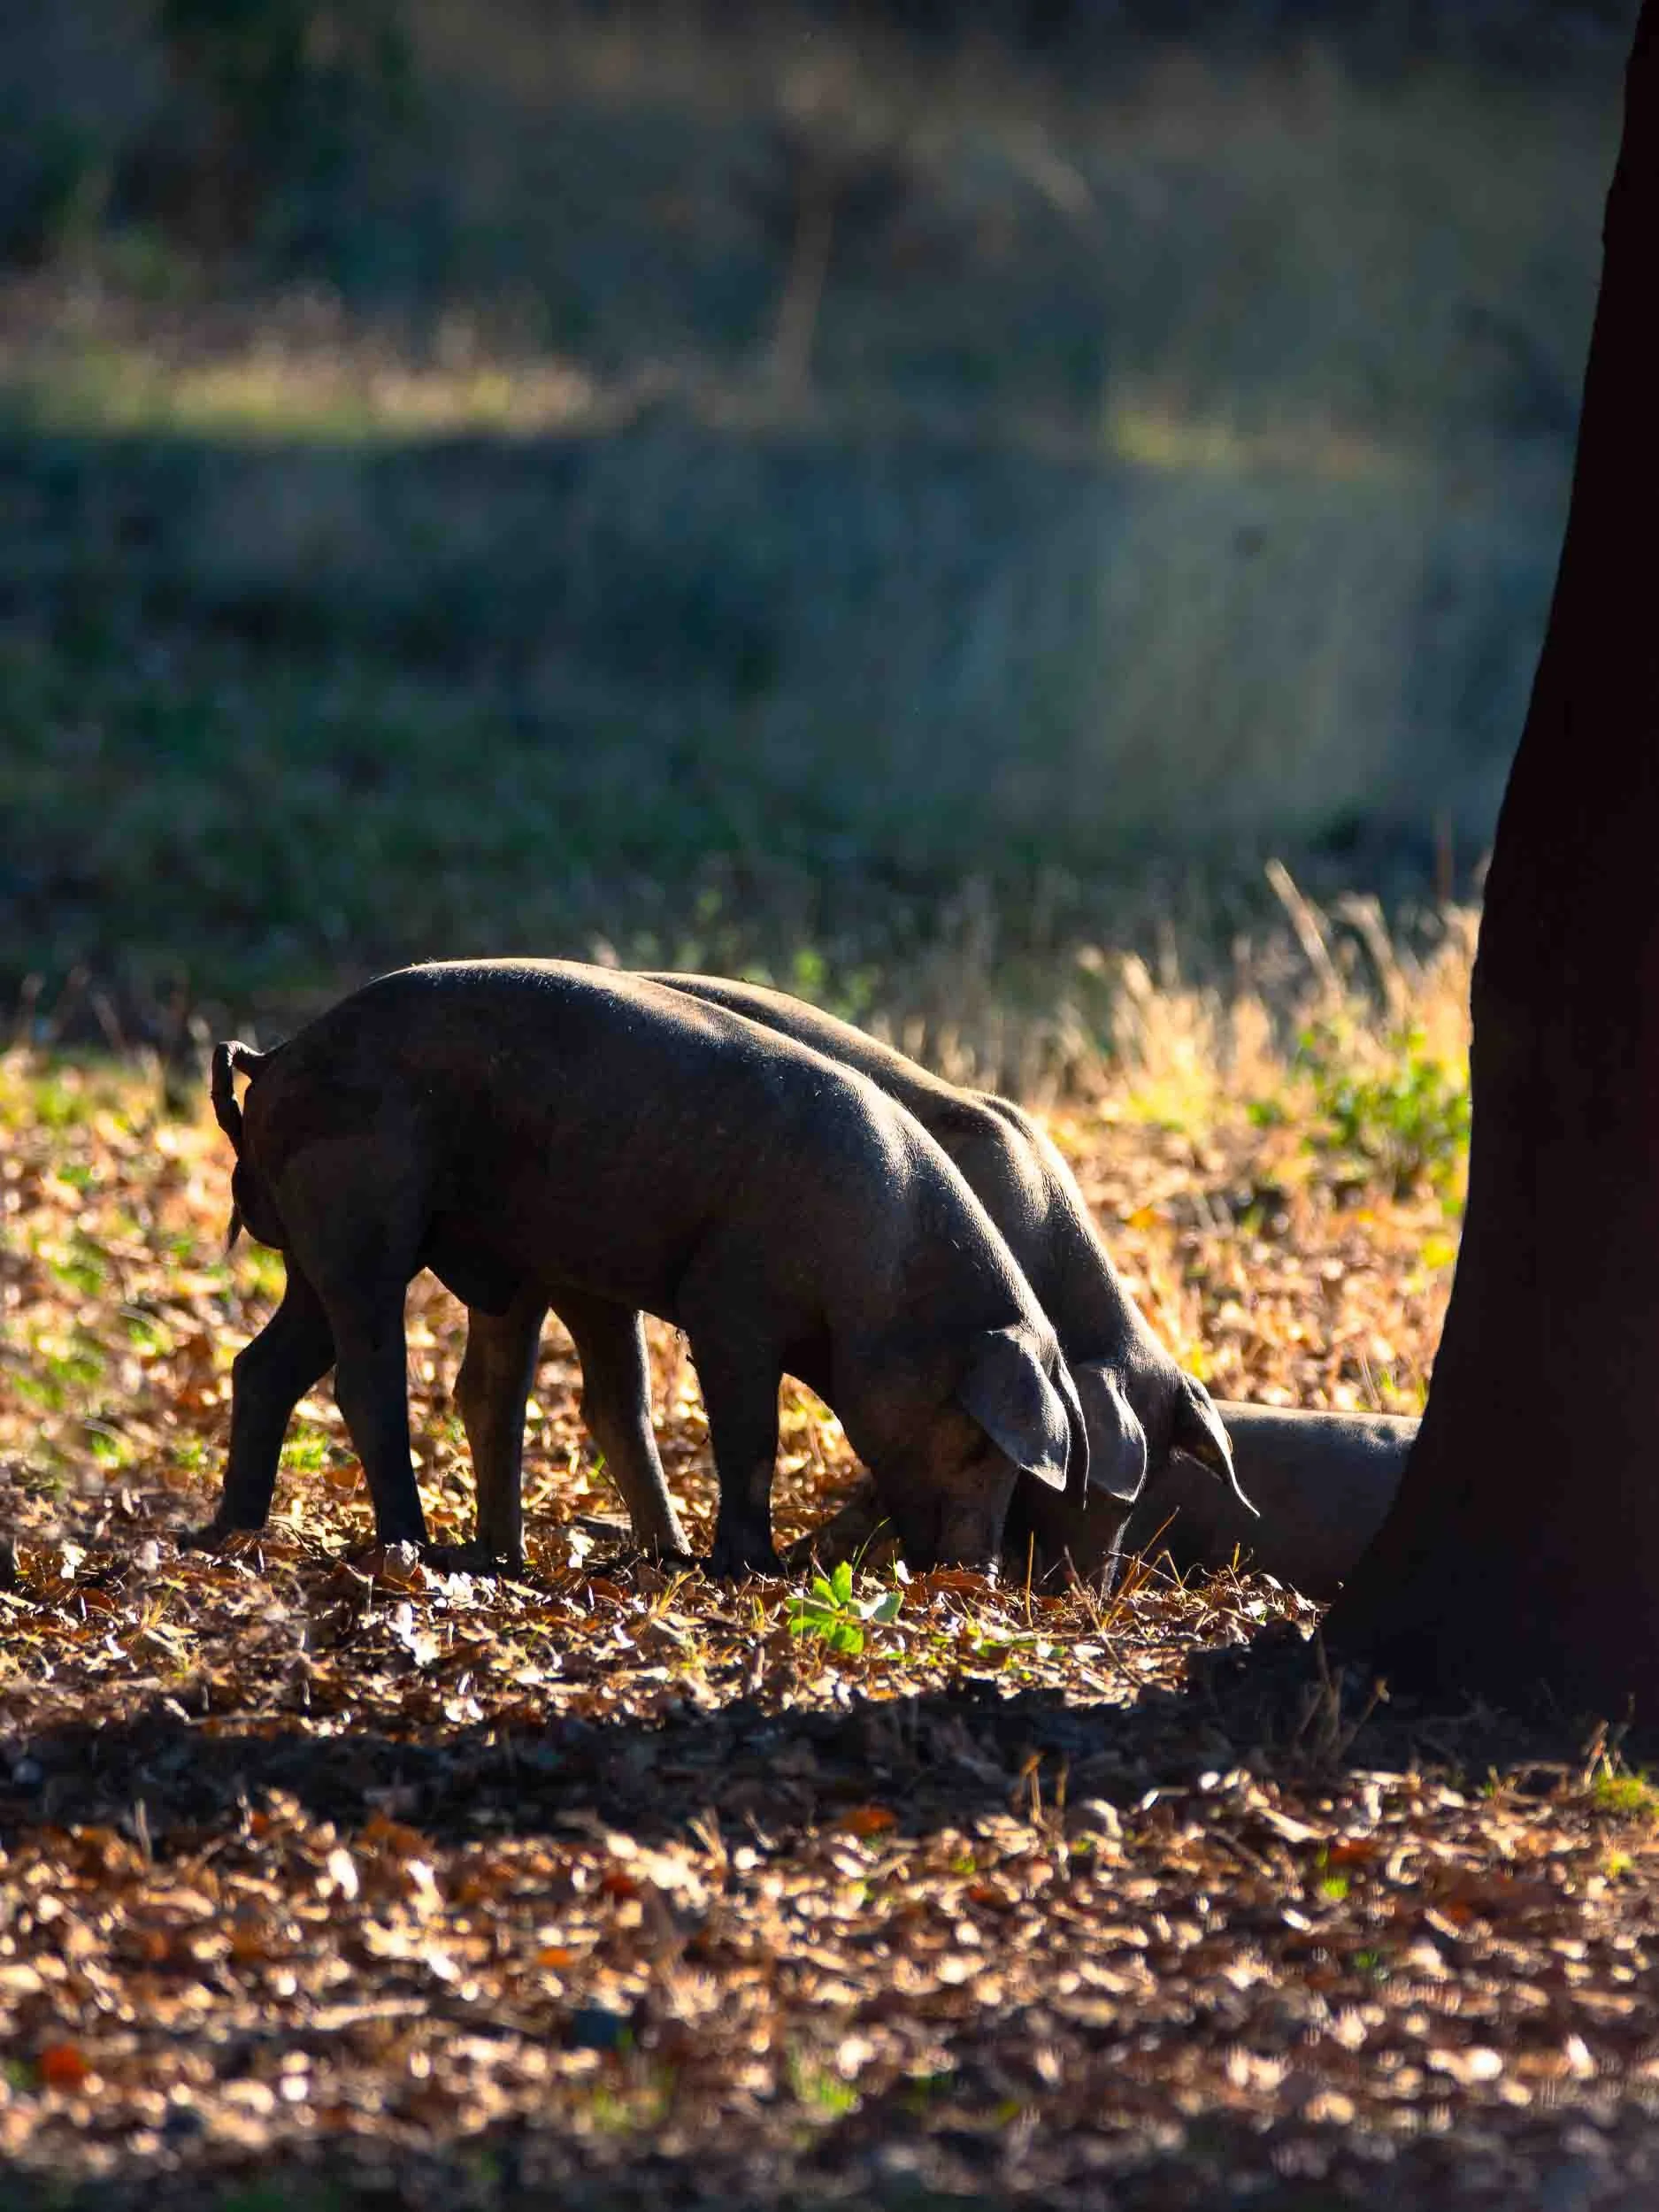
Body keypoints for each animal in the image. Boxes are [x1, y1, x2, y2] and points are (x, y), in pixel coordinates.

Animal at [199, 960, 1090, 1577]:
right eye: (975, 1445)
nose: (978, 1576)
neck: (883, 1271)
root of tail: (277, 1056)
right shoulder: (729, 1312)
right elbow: (750, 1438)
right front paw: (751, 1570)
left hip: (314, 1252)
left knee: (263, 1367)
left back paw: (233, 1536)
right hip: (361, 1223)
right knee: (365, 1381)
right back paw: (413, 1549)